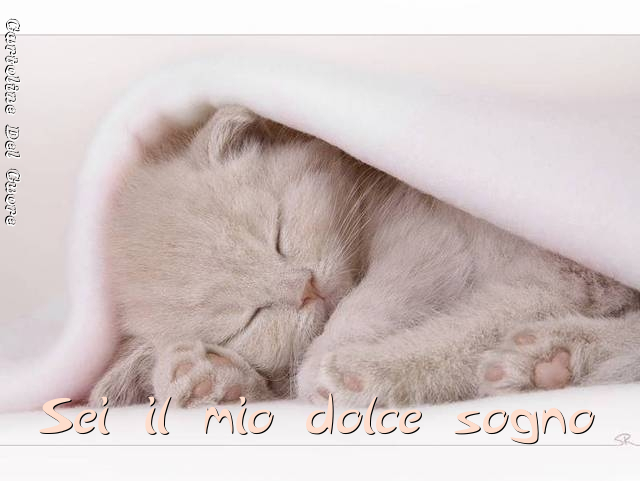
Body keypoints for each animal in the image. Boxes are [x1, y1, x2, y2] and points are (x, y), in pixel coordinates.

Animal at [90, 105, 640, 408]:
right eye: (247, 320)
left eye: (277, 231)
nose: (306, 288)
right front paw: (205, 375)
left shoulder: (433, 236)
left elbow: (378, 303)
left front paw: (329, 360)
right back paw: (549, 361)